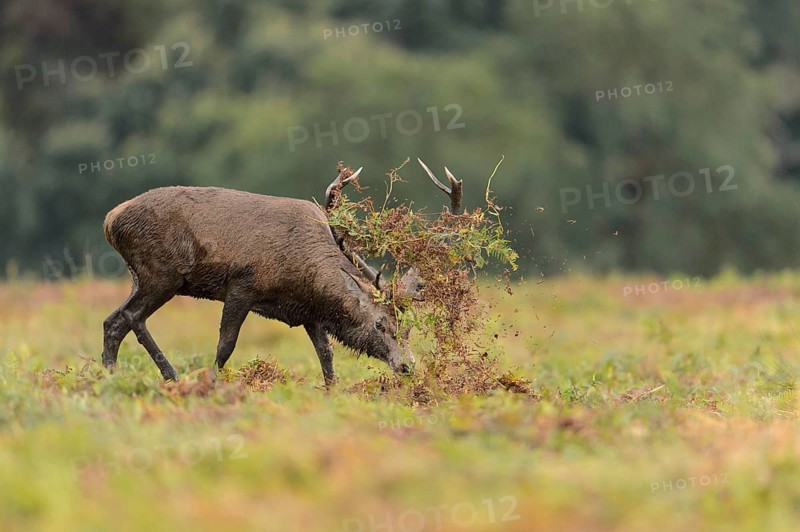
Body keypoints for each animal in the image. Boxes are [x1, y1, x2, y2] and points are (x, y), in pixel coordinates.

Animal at [100, 161, 460, 385]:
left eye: (409, 328)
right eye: (379, 324)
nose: (407, 366)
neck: (304, 277)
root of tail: (109, 220)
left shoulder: (309, 313)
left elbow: (326, 354)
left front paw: (332, 392)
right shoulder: (242, 285)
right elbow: (225, 346)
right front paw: (213, 384)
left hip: (141, 277)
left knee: (113, 321)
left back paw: (108, 377)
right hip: (161, 273)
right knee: (132, 317)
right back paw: (171, 376)